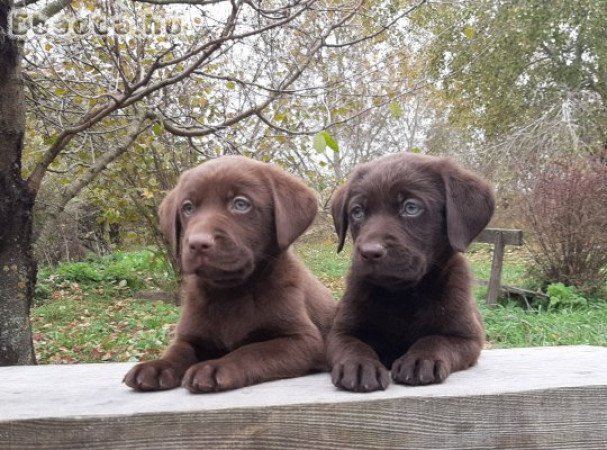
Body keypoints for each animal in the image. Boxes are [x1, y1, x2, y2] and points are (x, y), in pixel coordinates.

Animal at [121, 156, 334, 394]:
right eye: (188, 207)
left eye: (241, 204)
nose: (197, 243)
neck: (230, 292)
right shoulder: (190, 335)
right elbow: (177, 349)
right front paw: (156, 366)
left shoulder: (304, 339)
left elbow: (253, 350)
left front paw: (215, 367)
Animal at [328, 153, 494, 392]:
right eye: (357, 211)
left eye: (411, 207)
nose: (369, 252)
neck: (401, 295)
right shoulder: (340, 330)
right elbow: (352, 344)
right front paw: (358, 366)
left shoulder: (467, 337)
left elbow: (435, 339)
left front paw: (419, 360)